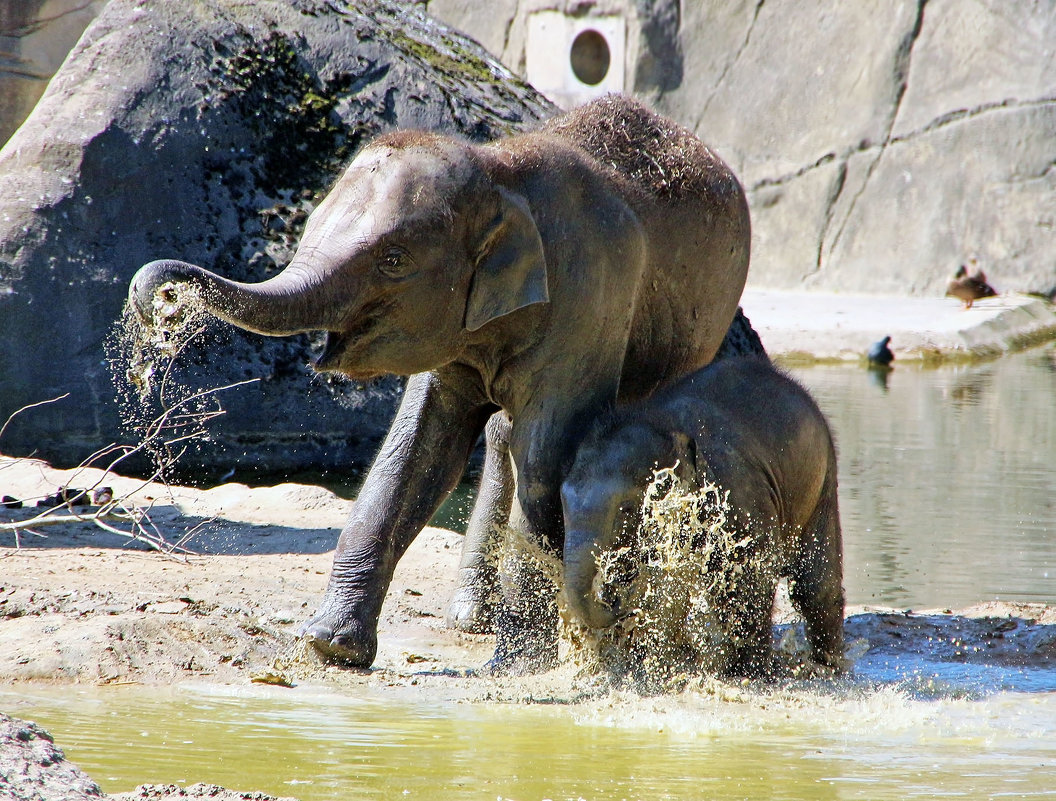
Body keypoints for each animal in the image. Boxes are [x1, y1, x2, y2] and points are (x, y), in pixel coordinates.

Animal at [127, 92, 756, 671]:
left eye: (394, 260)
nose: (160, 300)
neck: (500, 173)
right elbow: (417, 449)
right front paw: (330, 647)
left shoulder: (592, 300)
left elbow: (545, 460)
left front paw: (516, 670)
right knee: (503, 439)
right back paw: (474, 619)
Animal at [561, 356, 840, 675]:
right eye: (563, 502)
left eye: (627, 509)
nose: (616, 602)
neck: (660, 422)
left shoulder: (735, 487)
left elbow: (755, 568)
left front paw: (751, 671)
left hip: (821, 480)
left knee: (813, 583)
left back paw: (827, 665)